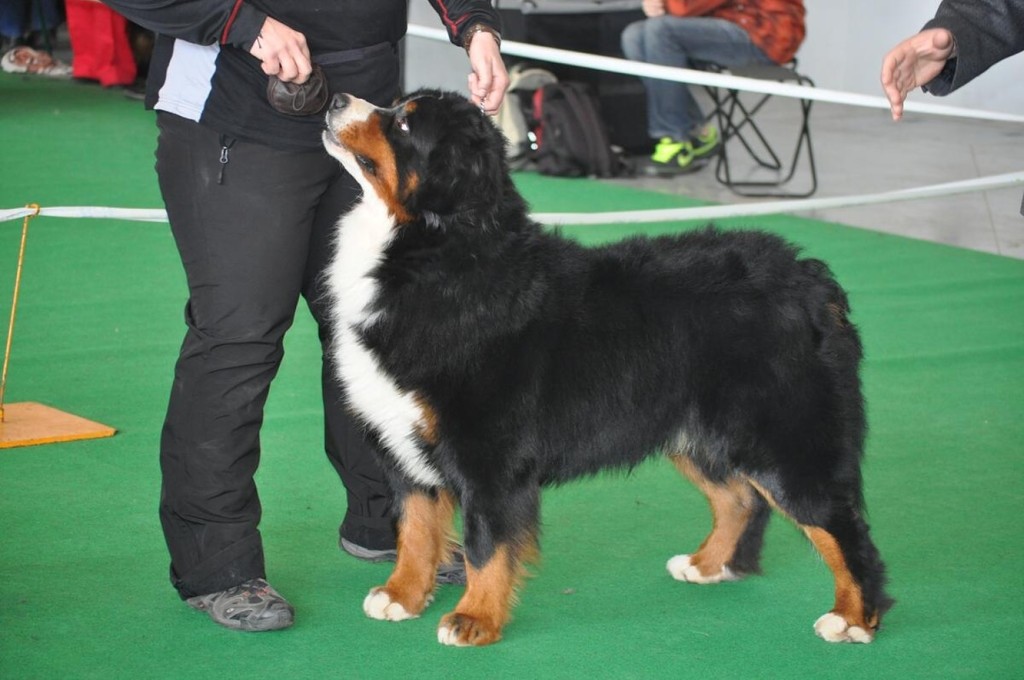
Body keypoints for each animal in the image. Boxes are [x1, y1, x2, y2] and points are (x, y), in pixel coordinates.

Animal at [319, 87, 888, 647]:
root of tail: (809, 278)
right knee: (740, 500)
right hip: (698, 433)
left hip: (785, 440)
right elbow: (414, 528)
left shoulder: (487, 454)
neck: (434, 252)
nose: (334, 100)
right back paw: (705, 565)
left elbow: (486, 543)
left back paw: (853, 617)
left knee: (841, 527)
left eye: (405, 124)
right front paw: (403, 595)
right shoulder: (404, 443)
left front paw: (474, 618)